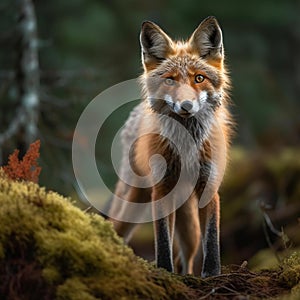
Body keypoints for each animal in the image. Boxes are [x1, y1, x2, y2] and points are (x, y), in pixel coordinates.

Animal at [109, 16, 233, 276]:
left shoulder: (209, 184)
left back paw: (186, 275)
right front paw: (164, 272)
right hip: (134, 199)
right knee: (116, 228)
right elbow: (163, 240)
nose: (186, 105)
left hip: (188, 225)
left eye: (199, 78)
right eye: (170, 80)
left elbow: (211, 239)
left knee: (187, 255)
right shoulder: (162, 187)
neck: (187, 146)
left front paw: (211, 274)